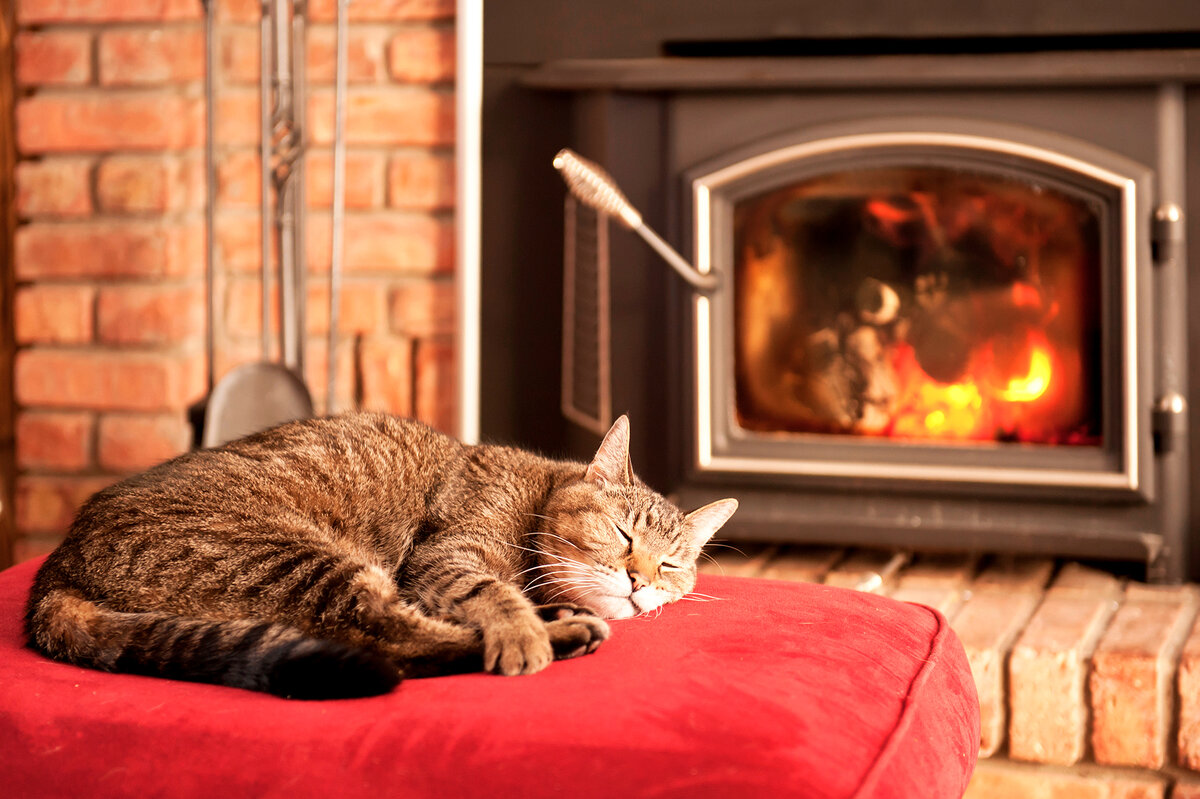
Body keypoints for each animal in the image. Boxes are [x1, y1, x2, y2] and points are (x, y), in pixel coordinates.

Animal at [25, 410, 739, 695]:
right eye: (622, 535)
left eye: (670, 565)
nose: (641, 581)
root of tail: (57, 564)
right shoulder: (448, 557)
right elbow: (493, 595)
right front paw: (524, 629)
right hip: (305, 562)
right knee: (396, 640)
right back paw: (562, 634)